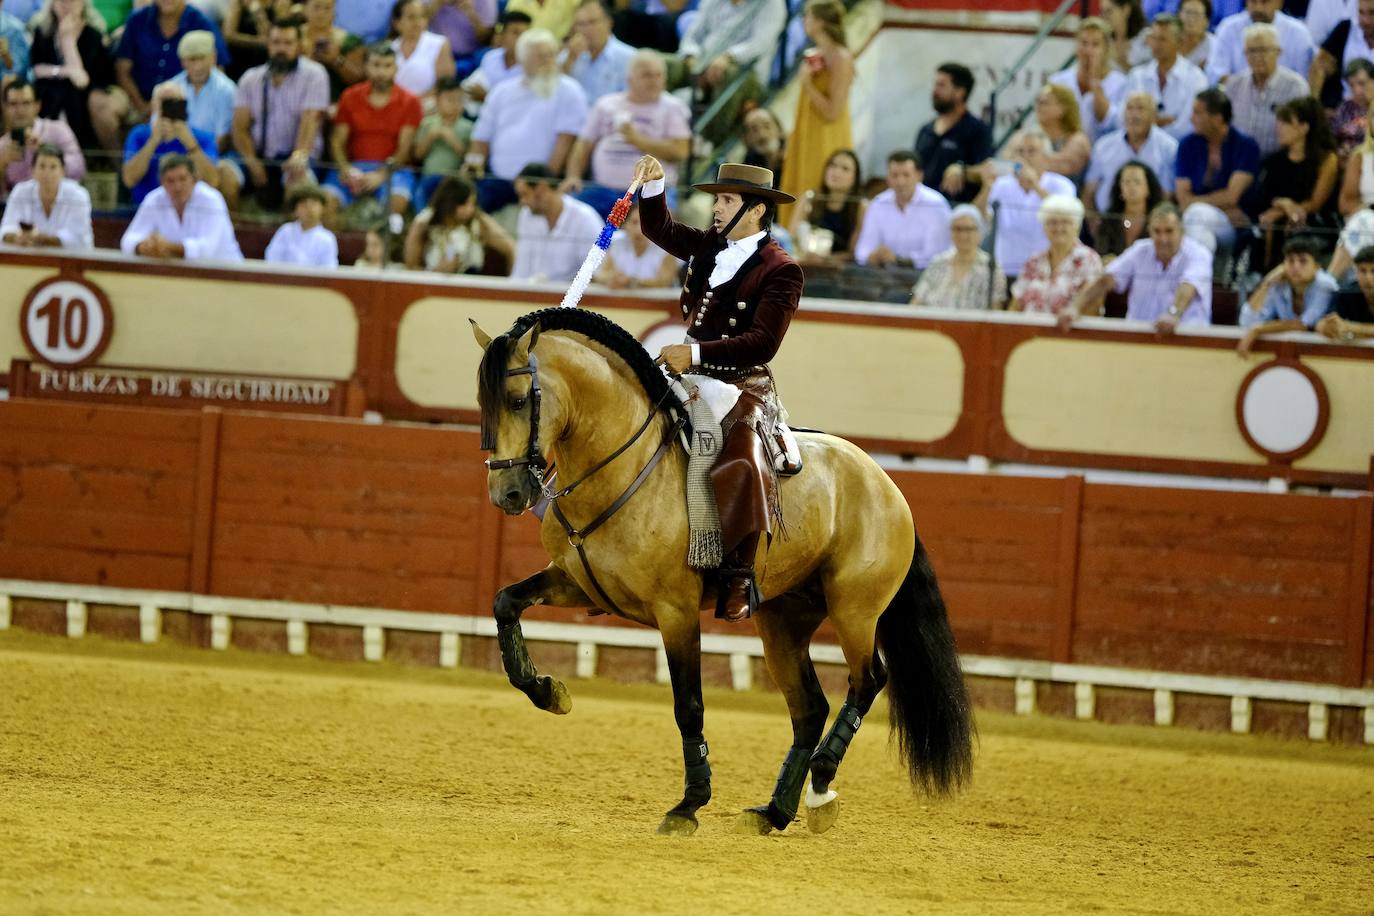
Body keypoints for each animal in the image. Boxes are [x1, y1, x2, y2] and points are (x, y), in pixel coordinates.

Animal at [475, 310, 978, 840]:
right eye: (483, 402)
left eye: (517, 400)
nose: (507, 493)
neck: (622, 465)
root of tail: (885, 484)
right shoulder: (577, 583)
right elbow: (505, 601)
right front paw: (548, 691)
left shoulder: (675, 612)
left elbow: (688, 704)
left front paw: (689, 804)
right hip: (783, 621)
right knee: (810, 707)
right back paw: (775, 810)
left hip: (855, 611)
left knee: (867, 681)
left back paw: (820, 789)